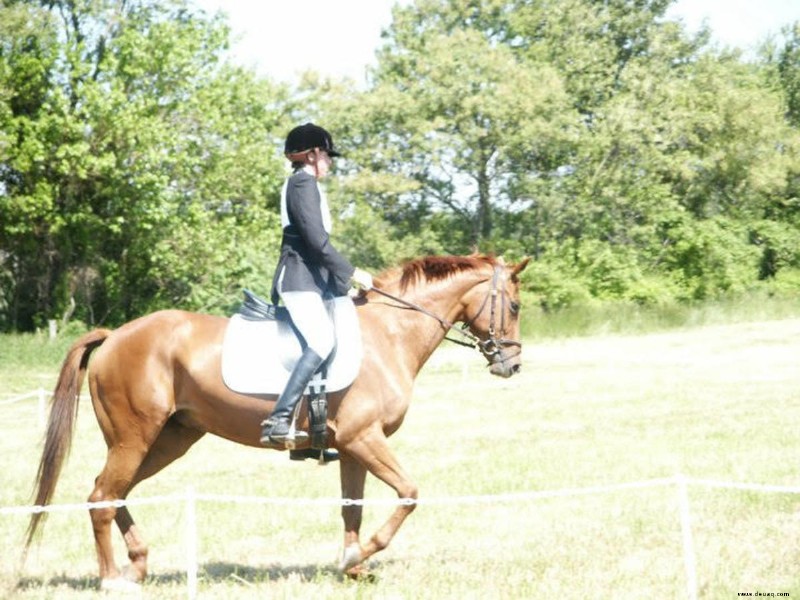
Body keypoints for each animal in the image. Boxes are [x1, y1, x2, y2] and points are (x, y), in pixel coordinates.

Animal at [23, 254, 524, 592]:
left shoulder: (354, 447)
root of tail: (114, 336)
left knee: (112, 491)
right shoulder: (365, 439)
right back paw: (112, 579)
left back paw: (138, 564)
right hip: (135, 438)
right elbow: (409, 493)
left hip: (169, 440)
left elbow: (353, 507)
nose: (512, 366)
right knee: (102, 498)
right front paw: (359, 555)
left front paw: (353, 565)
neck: (388, 336)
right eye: (516, 307)